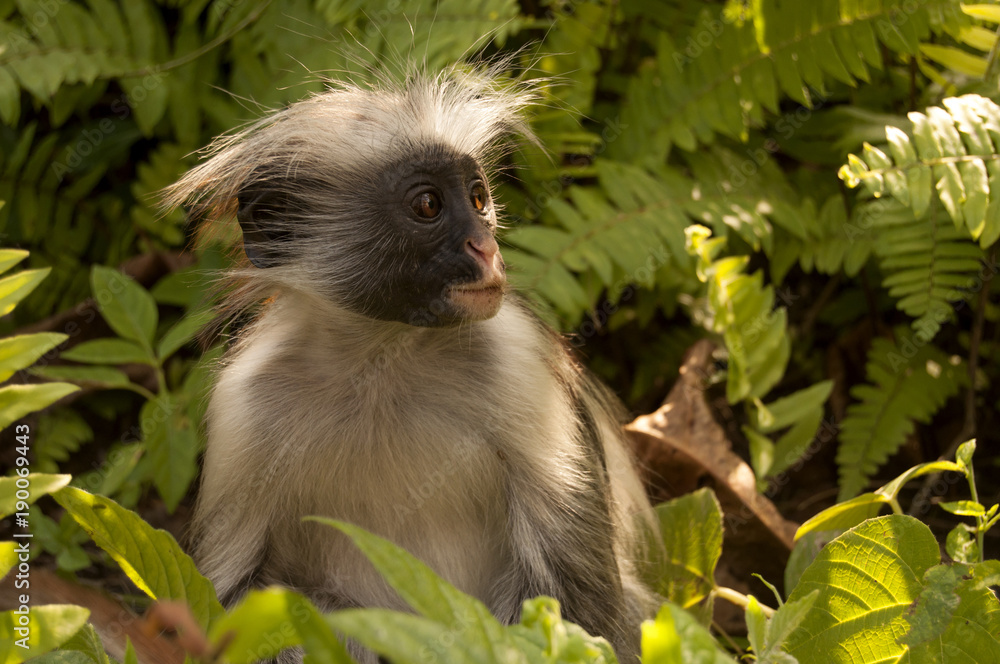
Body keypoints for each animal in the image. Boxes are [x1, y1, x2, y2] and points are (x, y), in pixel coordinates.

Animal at [164, 63, 659, 663]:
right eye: (428, 205)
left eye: (478, 198)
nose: (486, 248)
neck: (383, 359)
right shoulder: (244, 402)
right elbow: (228, 605)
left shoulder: (520, 361)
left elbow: (582, 609)